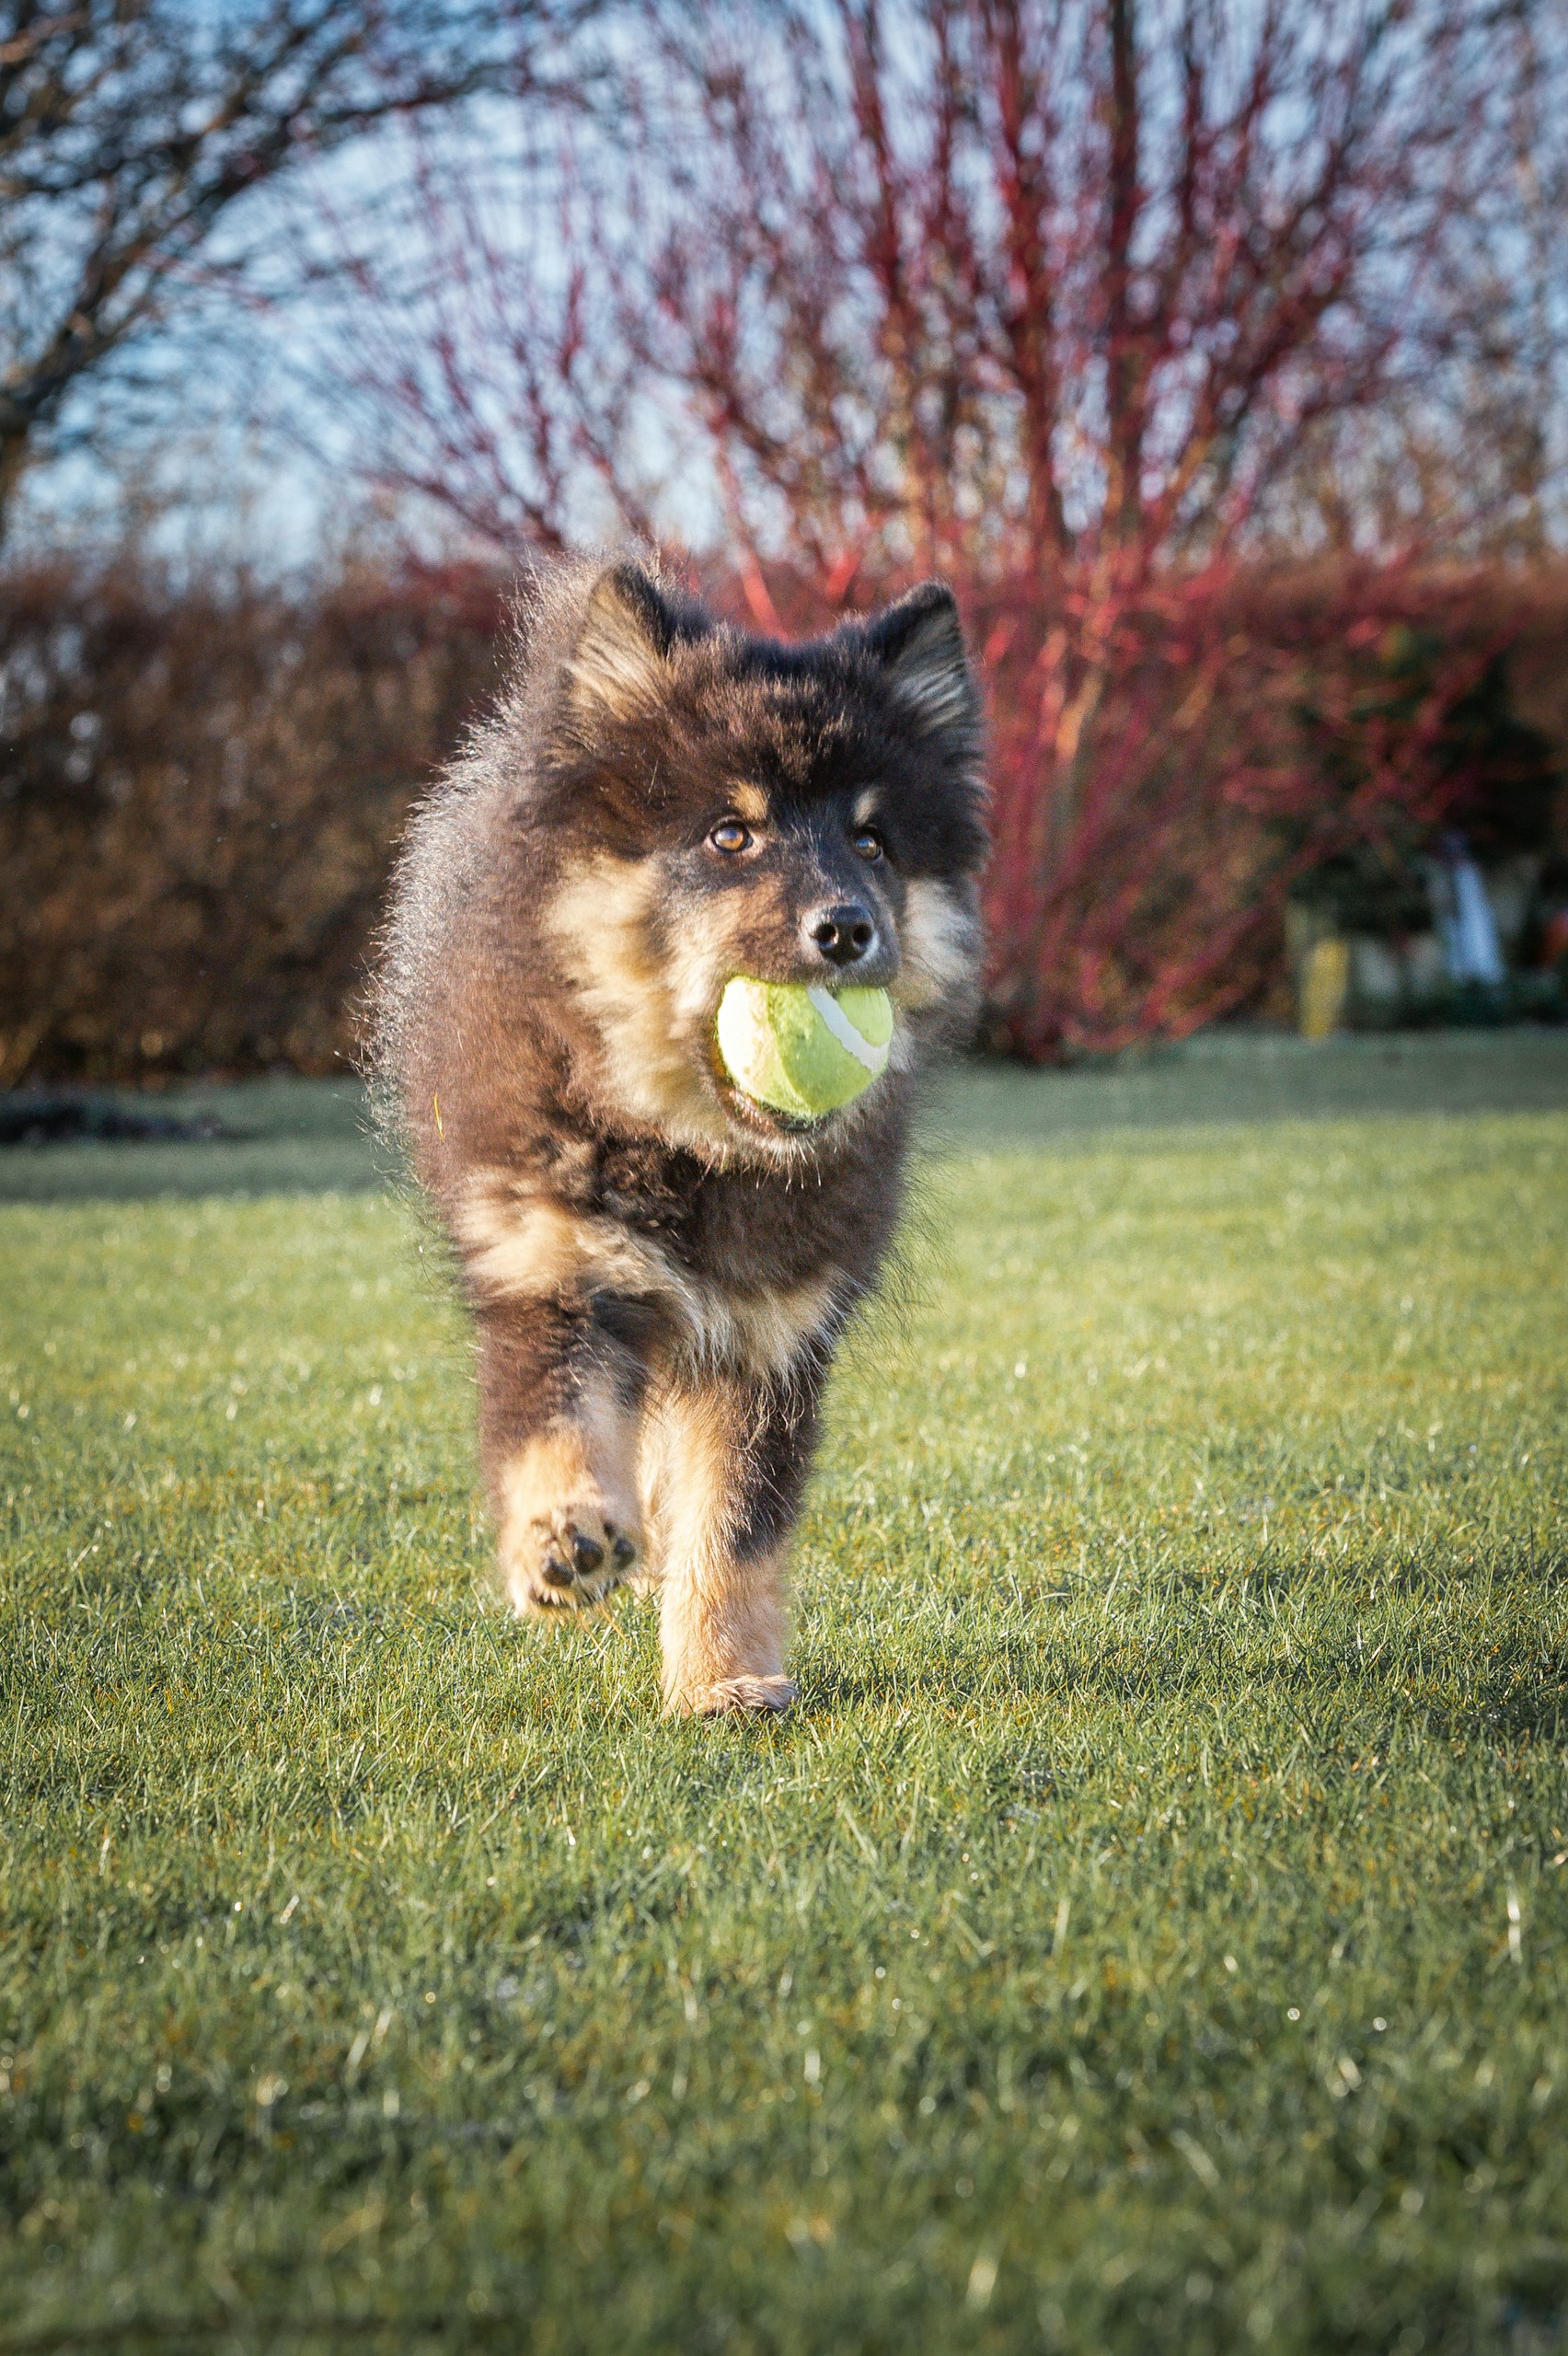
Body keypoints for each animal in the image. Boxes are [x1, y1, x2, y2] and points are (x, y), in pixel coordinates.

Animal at [367, 562, 984, 1724]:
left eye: (872, 843)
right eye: (728, 835)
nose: (847, 928)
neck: (695, 1153)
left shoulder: (765, 1335)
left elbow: (731, 1526)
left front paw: (720, 1675)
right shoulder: (555, 1266)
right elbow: (558, 1417)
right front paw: (563, 1535)